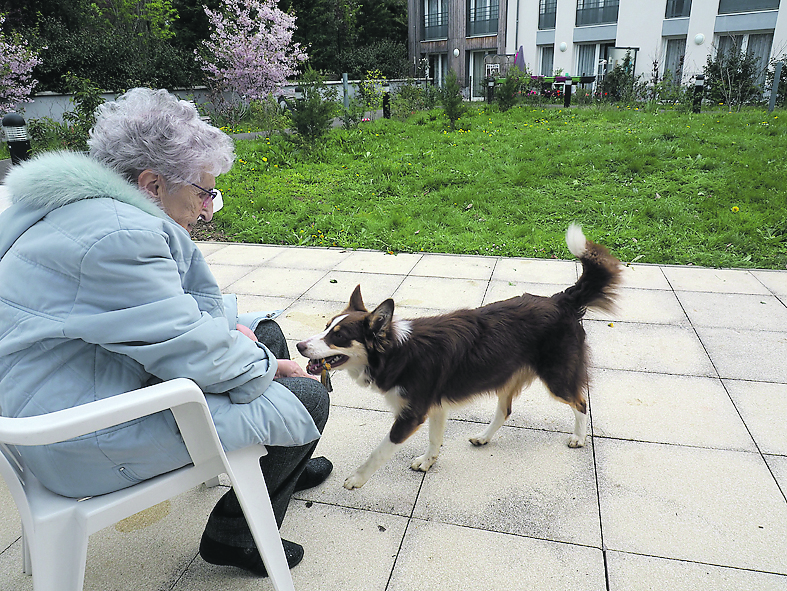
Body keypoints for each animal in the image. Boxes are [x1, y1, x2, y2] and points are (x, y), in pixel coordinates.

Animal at [298, 224, 620, 488]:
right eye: (326, 326)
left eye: (338, 336)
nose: (299, 346)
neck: (398, 352)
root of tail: (561, 300)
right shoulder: (436, 406)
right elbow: (434, 439)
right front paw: (428, 462)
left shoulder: (412, 414)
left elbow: (381, 450)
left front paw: (357, 478)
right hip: (508, 375)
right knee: (505, 411)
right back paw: (484, 437)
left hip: (556, 377)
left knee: (580, 402)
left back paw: (579, 437)